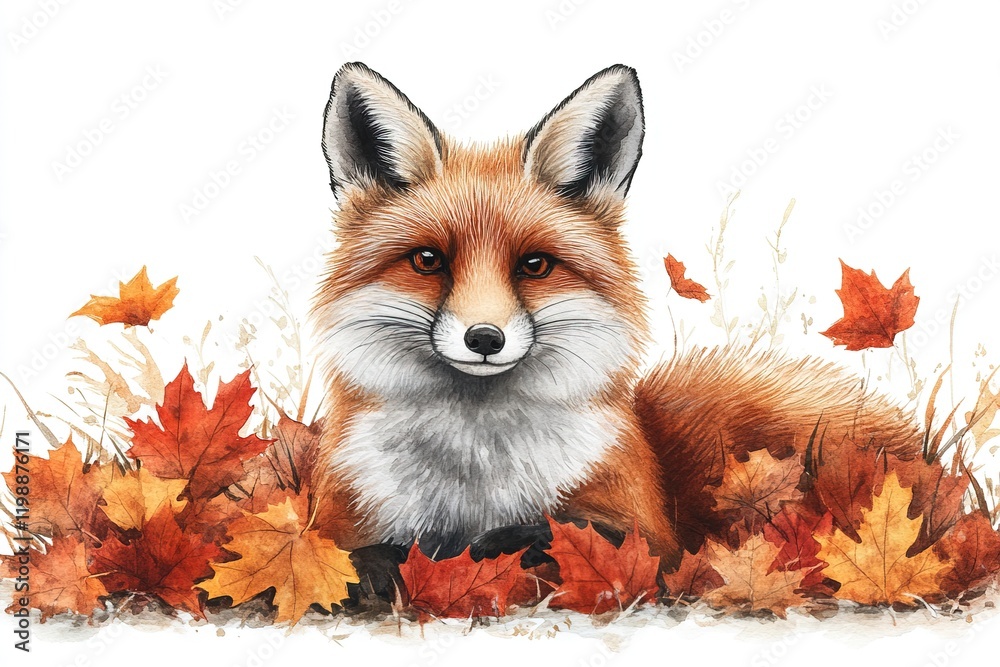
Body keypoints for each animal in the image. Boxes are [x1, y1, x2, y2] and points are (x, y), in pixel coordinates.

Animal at [309, 62, 922, 592]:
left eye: (535, 264)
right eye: (428, 260)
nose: (484, 339)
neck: (473, 482)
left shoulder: (647, 531)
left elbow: (576, 535)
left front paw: (489, 548)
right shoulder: (339, 515)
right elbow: (348, 554)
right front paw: (395, 566)